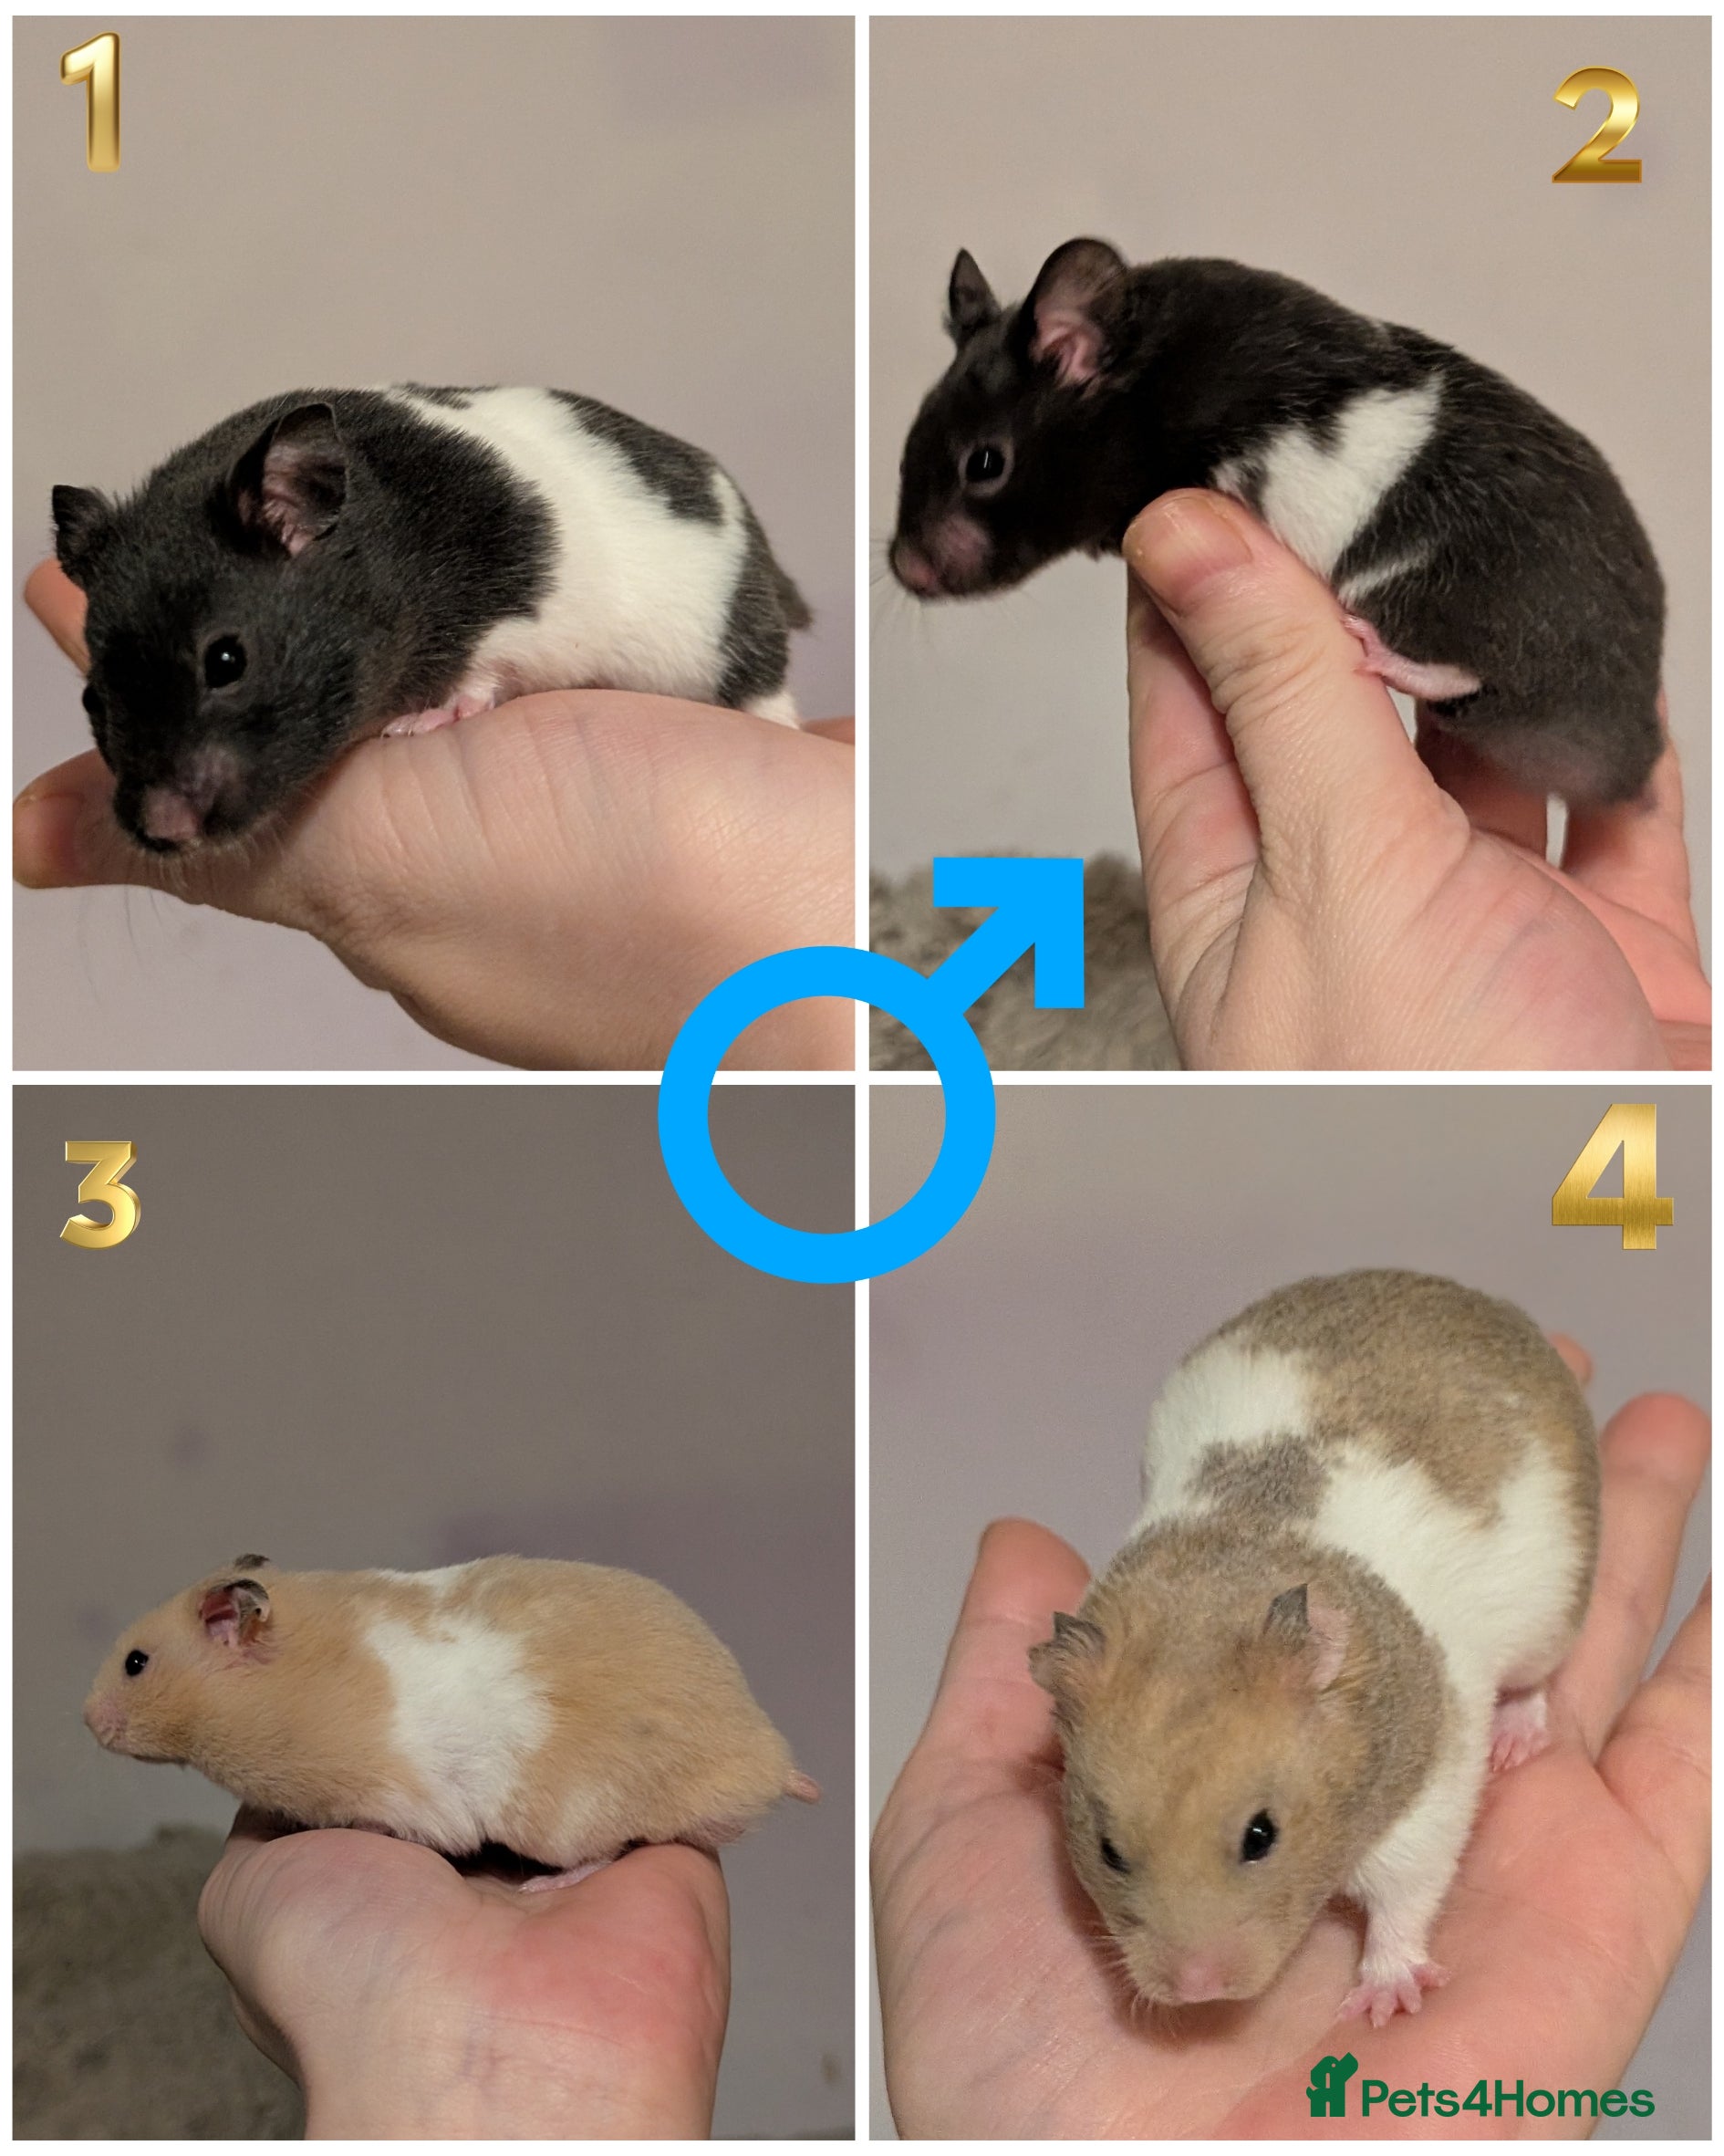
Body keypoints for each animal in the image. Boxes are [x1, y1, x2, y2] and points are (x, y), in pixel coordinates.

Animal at [52, 385, 812, 851]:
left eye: (226, 661)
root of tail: (770, 566)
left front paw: (422, 720)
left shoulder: (515, 607)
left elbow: (482, 670)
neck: (387, 539)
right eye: (92, 700)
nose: (163, 830)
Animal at [892, 240, 1664, 806]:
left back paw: (1372, 650)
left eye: (984, 463)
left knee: (1467, 674)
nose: (903, 570)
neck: (1139, 386)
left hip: (1423, 591)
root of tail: (1636, 740)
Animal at [1030, 1270, 1598, 2026]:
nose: (1197, 1988)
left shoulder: (1429, 1797)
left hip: (1553, 1609)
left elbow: (1405, 1896)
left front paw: (1386, 2001)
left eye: (1261, 1835)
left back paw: (1515, 1741)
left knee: (1536, 1681)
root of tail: (1475, 1299)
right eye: (1108, 1850)